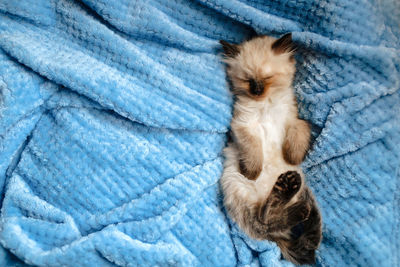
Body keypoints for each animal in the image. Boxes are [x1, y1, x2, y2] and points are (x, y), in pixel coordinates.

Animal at [219, 34, 322, 266]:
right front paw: (252, 172)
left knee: (271, 218)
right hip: (238, 188)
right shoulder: (243, 126)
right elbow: (253, 150)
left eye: (267, 78)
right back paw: (292, 200)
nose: (257, 91)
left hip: (294, 185)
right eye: (248, 80)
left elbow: (300, 131)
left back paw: (289, 189)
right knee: (264, 219)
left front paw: (291, 156)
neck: (265, 104)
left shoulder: (293, 121)